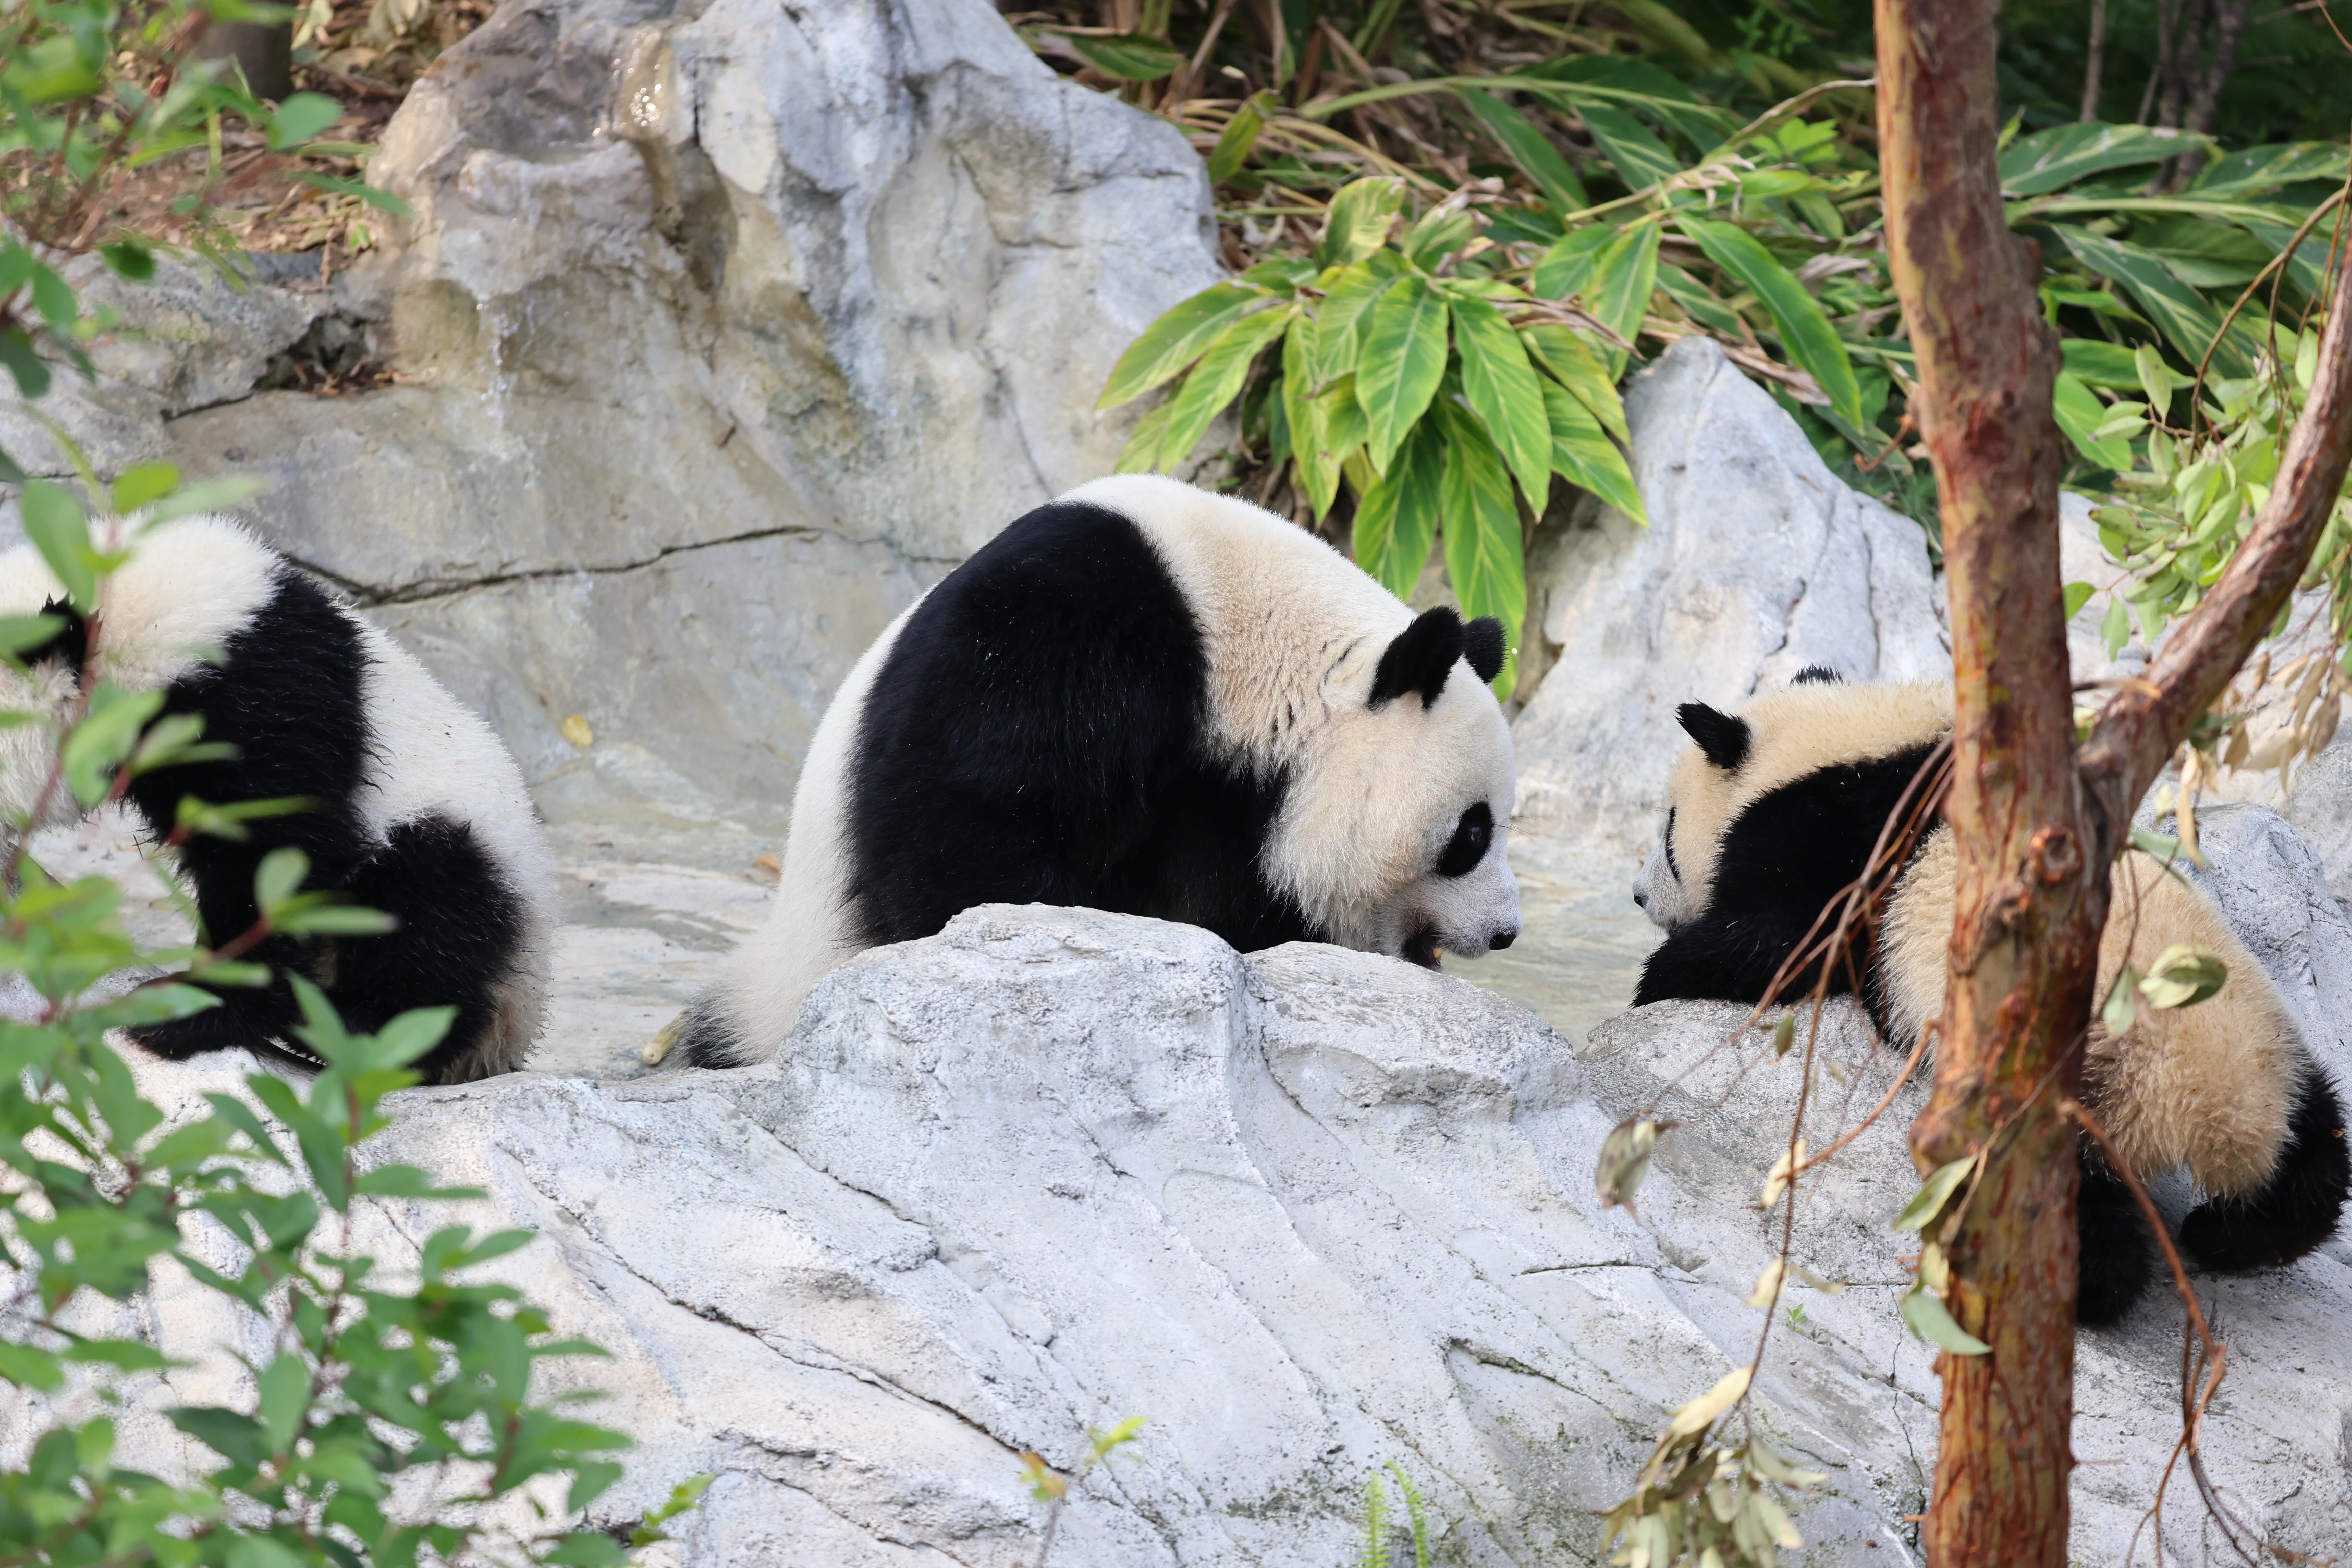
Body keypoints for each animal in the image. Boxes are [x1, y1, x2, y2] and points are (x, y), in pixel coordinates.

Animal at [0, 515, 554, 1085]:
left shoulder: (261, 698)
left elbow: (277, 853)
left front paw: (195, 1012)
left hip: (470, 852)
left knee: (431, 912)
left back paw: (357, 1027)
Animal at [1630, 669, 2350, 1325]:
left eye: (1667, 832)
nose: (1637, 896)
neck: (1859, 741)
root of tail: (2207, 1106)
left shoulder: (1838, 847)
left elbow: (1780, 944)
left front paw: (1658, 976)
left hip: (2064, 1094)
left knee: (2069, 1211)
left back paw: (2078, 1291)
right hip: (2265, 1036)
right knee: (2316, 1151)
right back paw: (2233, 1235)